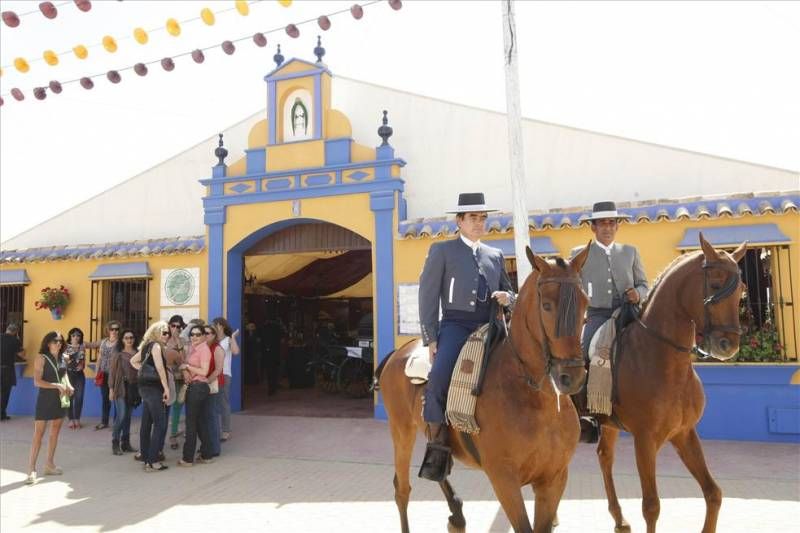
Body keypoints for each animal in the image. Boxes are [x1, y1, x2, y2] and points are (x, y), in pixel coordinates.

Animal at [378, 246, 592, 532]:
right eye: (546, 306)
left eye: (585, 304)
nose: (573, 376)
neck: (537, 399)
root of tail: (399, 352)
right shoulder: (504, 480)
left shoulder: (554, 478)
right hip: (401, 431)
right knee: (402, 490)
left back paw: (456, 512)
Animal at [592, 234, 748, 532]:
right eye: (715, 285)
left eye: (741, 291)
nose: (728, 345)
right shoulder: (645, 440)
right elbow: (651, 506)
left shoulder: (684, 433)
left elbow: (713, 493)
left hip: (608, 423)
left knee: (604, 456)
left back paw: (619, 519)